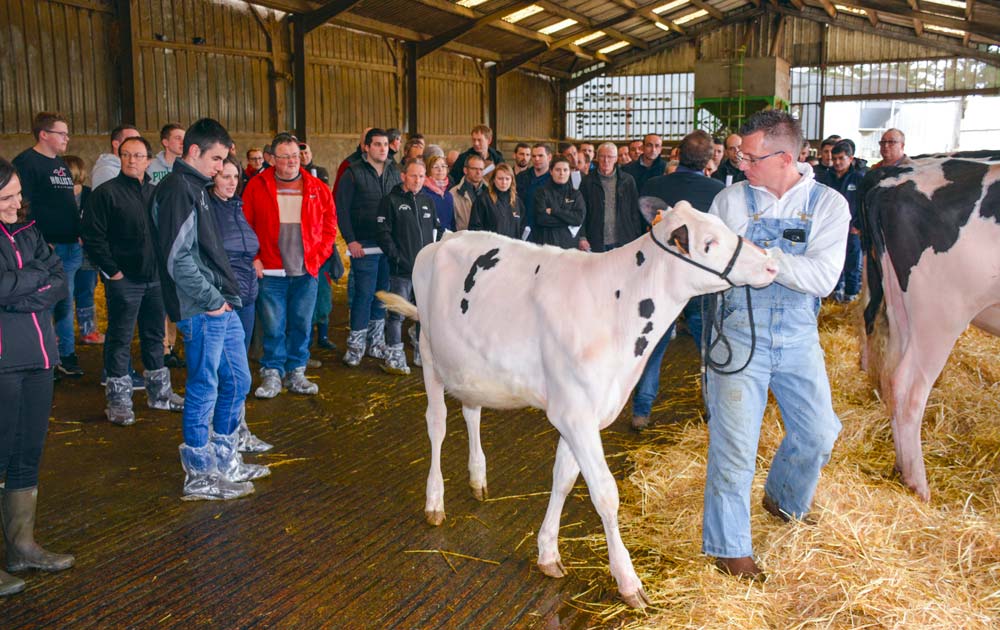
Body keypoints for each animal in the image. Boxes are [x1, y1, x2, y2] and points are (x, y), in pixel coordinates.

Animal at [860, 156, 1000, 502]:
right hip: (941, 314)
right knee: (907, 387)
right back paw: (917, 483)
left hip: (902, 307)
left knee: (890, 371)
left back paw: (900, 465)